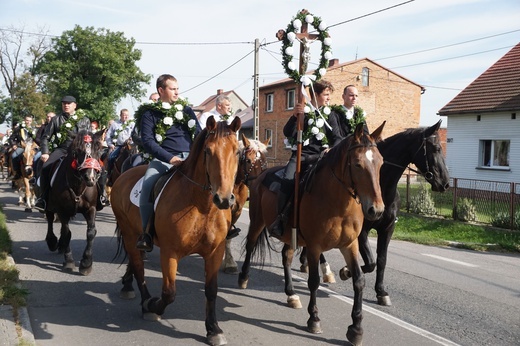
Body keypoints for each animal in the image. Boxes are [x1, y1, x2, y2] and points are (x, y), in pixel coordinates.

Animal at [44, 130, 105, 276]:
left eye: (99, 150)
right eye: (77, 152)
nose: (90, 178)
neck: (77, 186)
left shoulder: (91, 209)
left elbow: (91, 232)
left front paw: (86, 263)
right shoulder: (62, 210)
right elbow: (67, 233)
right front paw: (69, 262)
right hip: (50, 206)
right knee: (50, 219)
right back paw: (52, 241)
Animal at [112, 117, 242, 346]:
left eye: (236, 151)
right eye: (208, 151)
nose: (224, 199)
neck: (201, 205)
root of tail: (124, 174)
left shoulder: (215, 253)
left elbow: (211, 290)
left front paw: (213, 329)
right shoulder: (169, 252)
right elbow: (169, 293)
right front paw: (153, 305)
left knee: (136, 260)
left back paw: (128, 286)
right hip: (128, 233)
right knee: (138, 266)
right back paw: (145, 301)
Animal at [220, 134, 268, 274]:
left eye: (265, 162)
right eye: (248, 161)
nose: (259, 183)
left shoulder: (237, 210)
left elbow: (227, 236)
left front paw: (229, 262)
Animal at [240, 122, 386, 346]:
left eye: (381, 163)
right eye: (358, 164)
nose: (376, 210)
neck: (337, 203)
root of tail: (261, 175)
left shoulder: (350, 245)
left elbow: (359, 280)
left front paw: (356, 328)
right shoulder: (314, 246)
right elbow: (314, 281)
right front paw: (314, 319)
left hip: (290, 235)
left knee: (286, 257)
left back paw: (291, 294)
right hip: (257, 221)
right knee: (250, 246)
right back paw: (243, 278)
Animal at [296, 121, 450, 306]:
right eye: (436, 148)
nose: (445, 183)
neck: (382, 188)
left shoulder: (387, 228)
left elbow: (381, 260)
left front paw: (381, 292)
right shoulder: (361, 231)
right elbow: (370, 262)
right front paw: (346, 271)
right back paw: (323, 269)